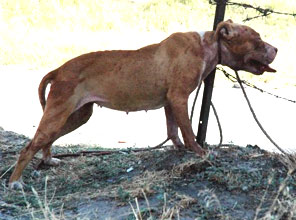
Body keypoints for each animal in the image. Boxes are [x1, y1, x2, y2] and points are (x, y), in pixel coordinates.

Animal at [9, 19, 278, 188]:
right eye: (257, 38)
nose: (276, 49)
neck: (208, 45)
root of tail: (59, 69)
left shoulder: (171, 102)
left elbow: (173, 130)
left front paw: (179, 149)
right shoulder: (179, 98)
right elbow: (188, 131)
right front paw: (200, 153)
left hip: (76, 116)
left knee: (46, 141)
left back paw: (48, 160)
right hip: (59, 113)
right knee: (28, 147)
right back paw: (15, 182)